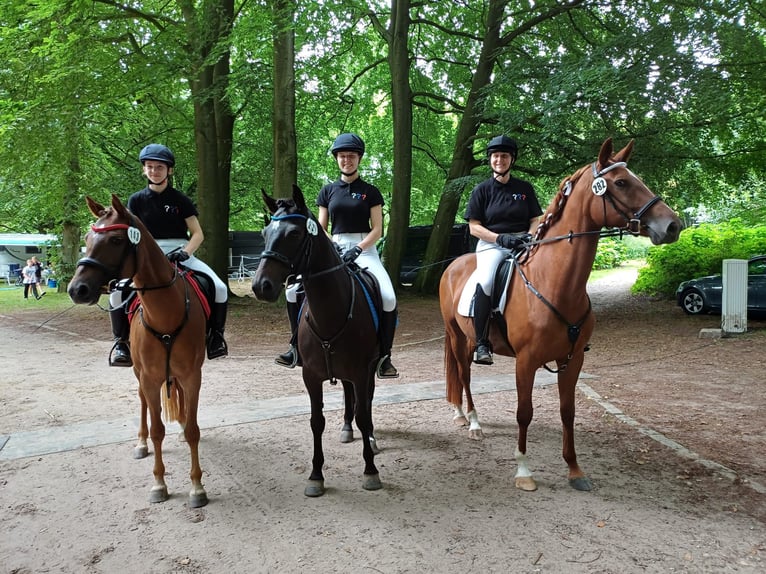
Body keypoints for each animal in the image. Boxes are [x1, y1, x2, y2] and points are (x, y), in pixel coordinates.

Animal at [68, 195, 210, 508]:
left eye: (116, 239)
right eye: (86, 238)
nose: (77, 289)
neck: (164, 312)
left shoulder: (192, 375)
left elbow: (194, 429)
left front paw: (197, 487)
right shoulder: (149, 377)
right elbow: (157, 430)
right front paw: (159, 484)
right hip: (137, 372)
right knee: (143, 402)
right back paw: (141, 443)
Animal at [252, 186, 384, 500]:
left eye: (293, 234)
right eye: (264, 232)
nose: (261, 286)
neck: (330, 313)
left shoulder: (361, 371)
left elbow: (364, 414)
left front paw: (370, 471)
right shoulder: (311, 376)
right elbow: (316, 422)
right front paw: (315, 476)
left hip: (370, 367)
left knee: (366, 401)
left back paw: (370, 438)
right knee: (349, 396)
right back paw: (347, 429)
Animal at [440, 141, 688, 496]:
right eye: (621, 182)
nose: (672, 225)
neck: (555, 283)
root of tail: (452, 266)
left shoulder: (572, 360)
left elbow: (567, 411)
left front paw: (574, 469)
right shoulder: (526, 361)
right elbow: (524, 413)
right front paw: (524, 471)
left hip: (472, 337)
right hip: (458, 336)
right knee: (464, 373)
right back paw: (471, 421)